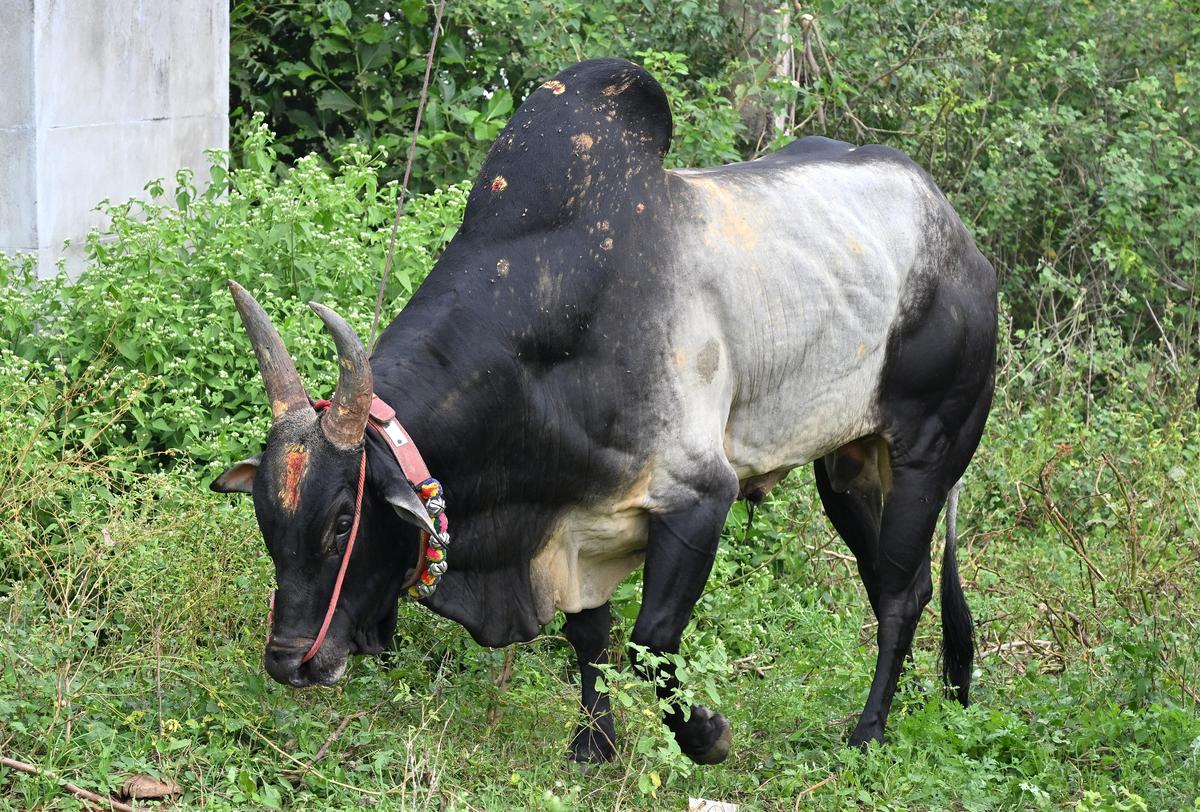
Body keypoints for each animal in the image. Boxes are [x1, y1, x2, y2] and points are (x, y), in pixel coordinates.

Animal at [211, 58, 996, 765]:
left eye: (345, 519)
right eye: (266, 519)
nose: (288, 661)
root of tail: (963, 243)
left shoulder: (698, 498)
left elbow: (650, 642)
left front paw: (707, 737)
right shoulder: (572, 525)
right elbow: (591, 637)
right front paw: (594, 744)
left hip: (930, 452)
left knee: (902, 592)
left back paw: (868, 733)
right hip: (846, 466)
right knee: (892, 581)